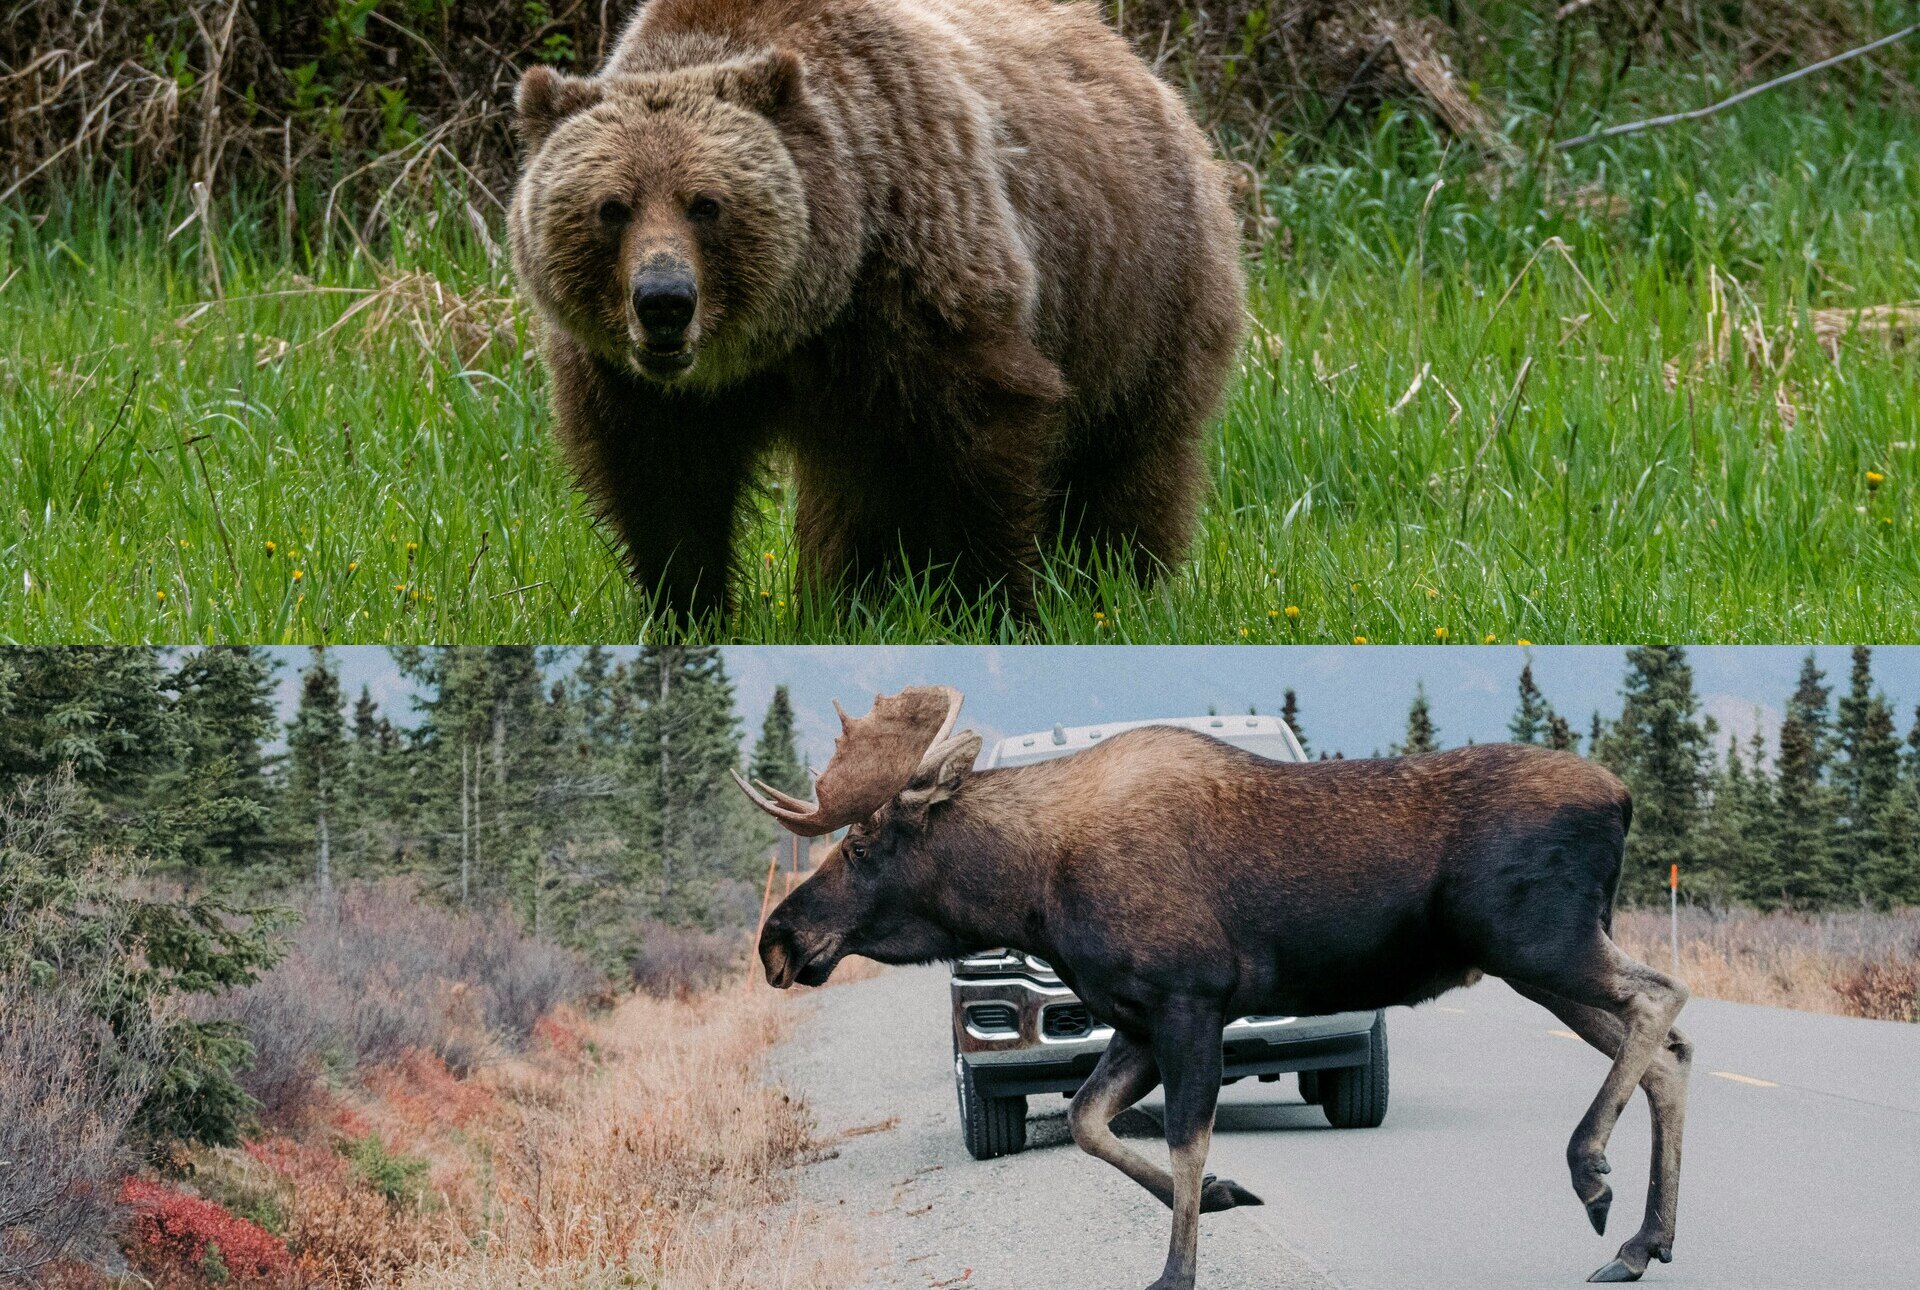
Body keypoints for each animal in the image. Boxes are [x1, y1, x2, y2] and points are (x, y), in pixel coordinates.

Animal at [509, 0, 1245, 620]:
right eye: (612, 207)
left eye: (707, 203)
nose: (664, 301)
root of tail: (1144, 71)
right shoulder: (639, 382)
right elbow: (666, 485)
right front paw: (687, 607)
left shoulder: (916, 284)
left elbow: (979, 445)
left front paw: (992, 605)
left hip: (1139, 297)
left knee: (1127, 462)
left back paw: (1119, 585)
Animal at [734, 686, 1692, 1289]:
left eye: (863, 846)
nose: (777, 940)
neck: (1031, 892)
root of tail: (1624, 796)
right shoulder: (1133, 1020)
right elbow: (1089, 1123)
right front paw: (1231, 1194)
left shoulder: (1186, 1000)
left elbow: (1183, 1139)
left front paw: (1176, 1271)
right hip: (1542, 963)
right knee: (1666, 1056)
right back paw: (1643, 1244)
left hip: (1541, 944)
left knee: (1663, 1000)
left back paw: (1592, 1176)